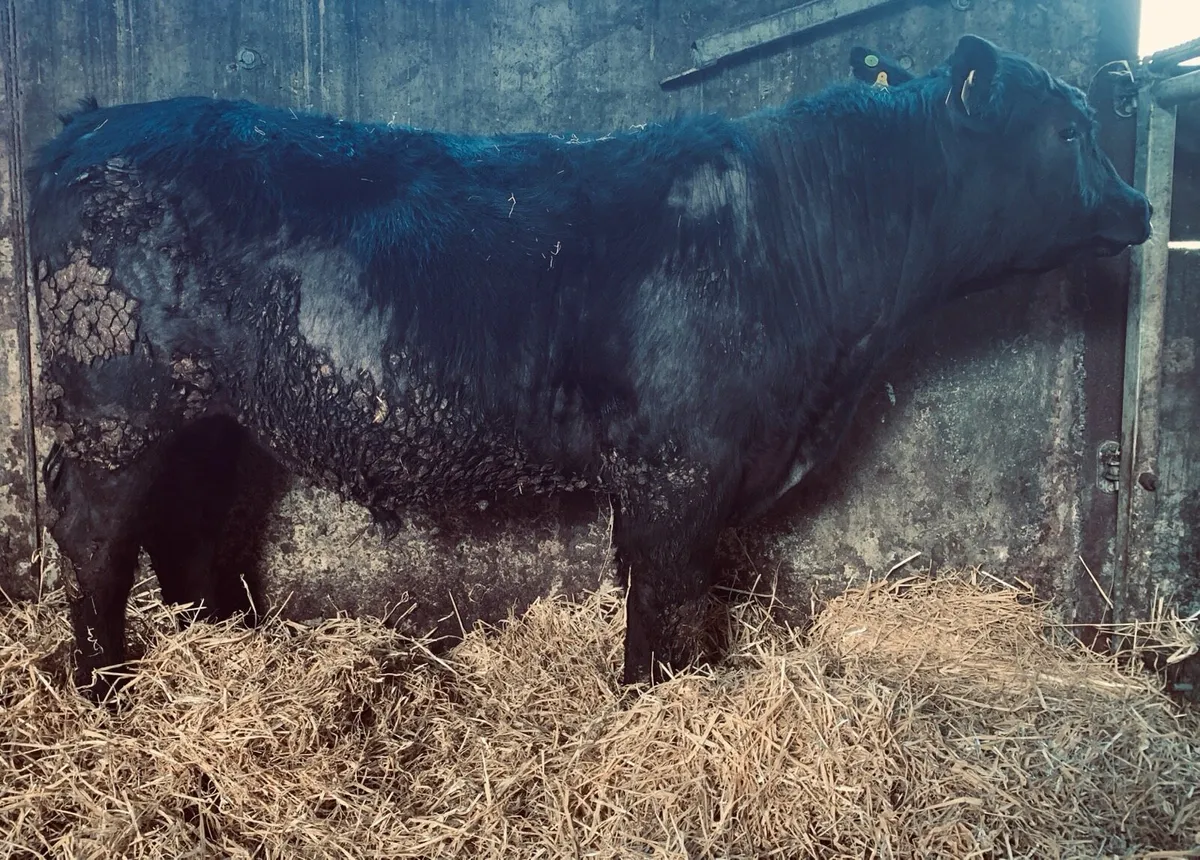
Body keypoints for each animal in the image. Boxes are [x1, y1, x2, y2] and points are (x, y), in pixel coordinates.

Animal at [28, 34, 1150, 702]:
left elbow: (689, 590)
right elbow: (662, 591)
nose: (1141, 205)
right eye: (1070, 129)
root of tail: (93, 120)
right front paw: (654, 701)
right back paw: (100, 679)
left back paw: (212, 649)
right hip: (115, 404)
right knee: (93, 528)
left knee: (185, 527)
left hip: (207, 416)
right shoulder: (676, 465)